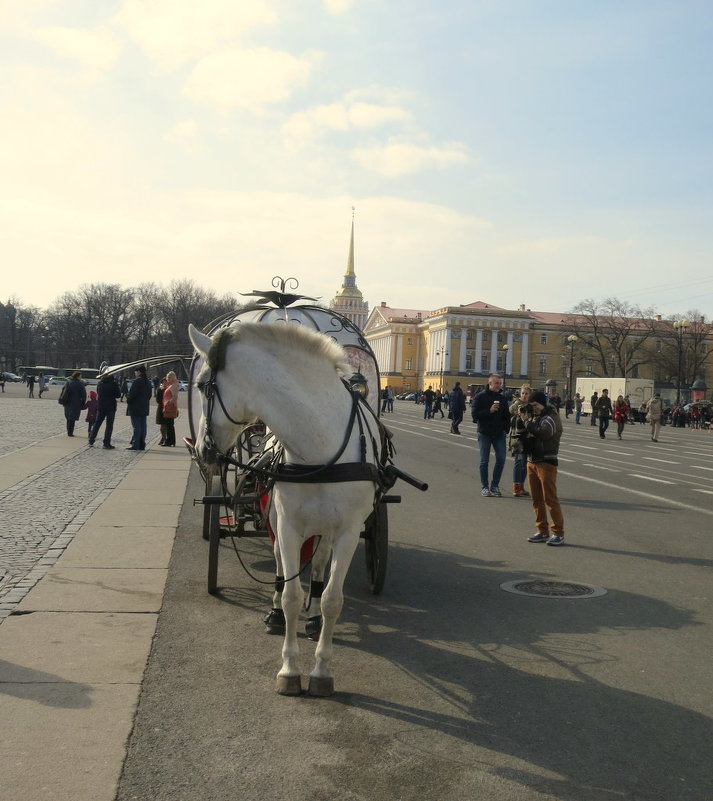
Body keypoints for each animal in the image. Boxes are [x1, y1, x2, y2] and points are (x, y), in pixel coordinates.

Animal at [188, 322, 378, 696]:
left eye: (203, 385)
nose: (201, 449)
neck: (319, 446)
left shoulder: (348, 532)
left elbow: (333, 598)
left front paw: (322, 670)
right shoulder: (289, 525)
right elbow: (290, 594)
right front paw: (289, 668)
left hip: (325, 529)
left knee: (318, 567)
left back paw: (314, 616)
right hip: (277, 517)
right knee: (278, 562)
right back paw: (275, 612)